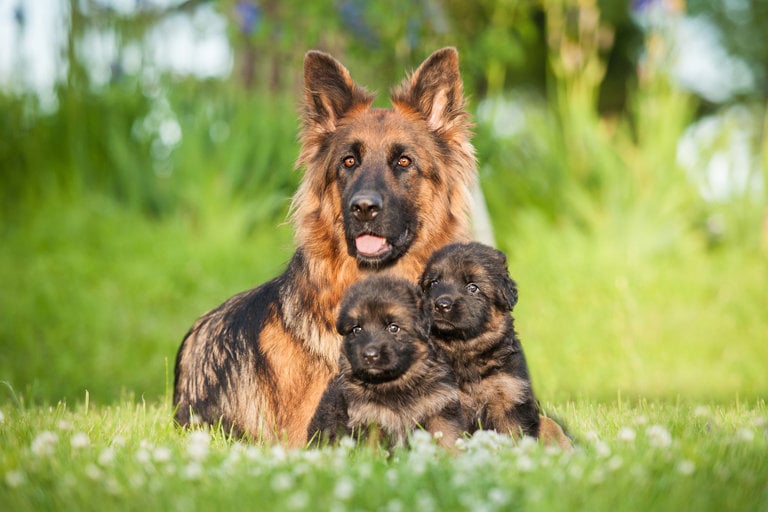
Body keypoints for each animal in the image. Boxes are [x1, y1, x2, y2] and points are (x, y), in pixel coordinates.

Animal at [306, 276, 462, 448]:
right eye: (356, 329)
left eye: (393, 328)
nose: (370, 355)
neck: (396, 384)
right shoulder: (369, 419)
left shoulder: (439, 408)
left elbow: (448, 438)